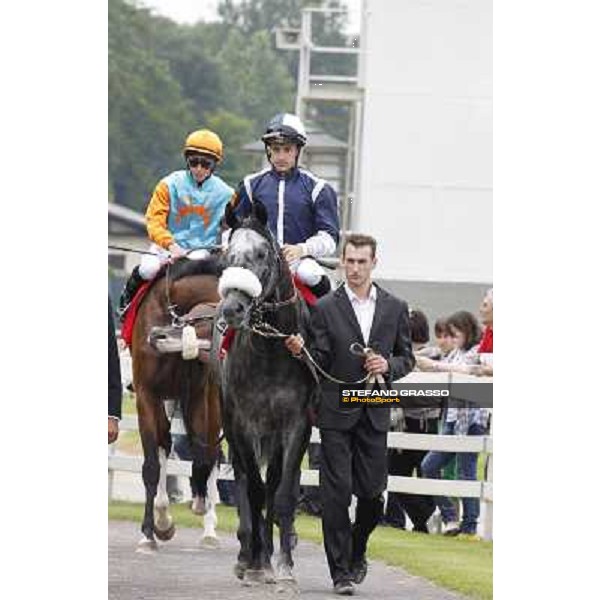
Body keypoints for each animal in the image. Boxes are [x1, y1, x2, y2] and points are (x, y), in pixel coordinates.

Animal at [130, 255, 224, 552]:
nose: (156, 337)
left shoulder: (197, 393)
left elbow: (204, 457)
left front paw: (200, 503)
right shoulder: (147, 394)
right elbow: (152, 464)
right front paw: (150, 533)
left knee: (213, 453)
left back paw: (209, 530)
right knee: (165, 442)